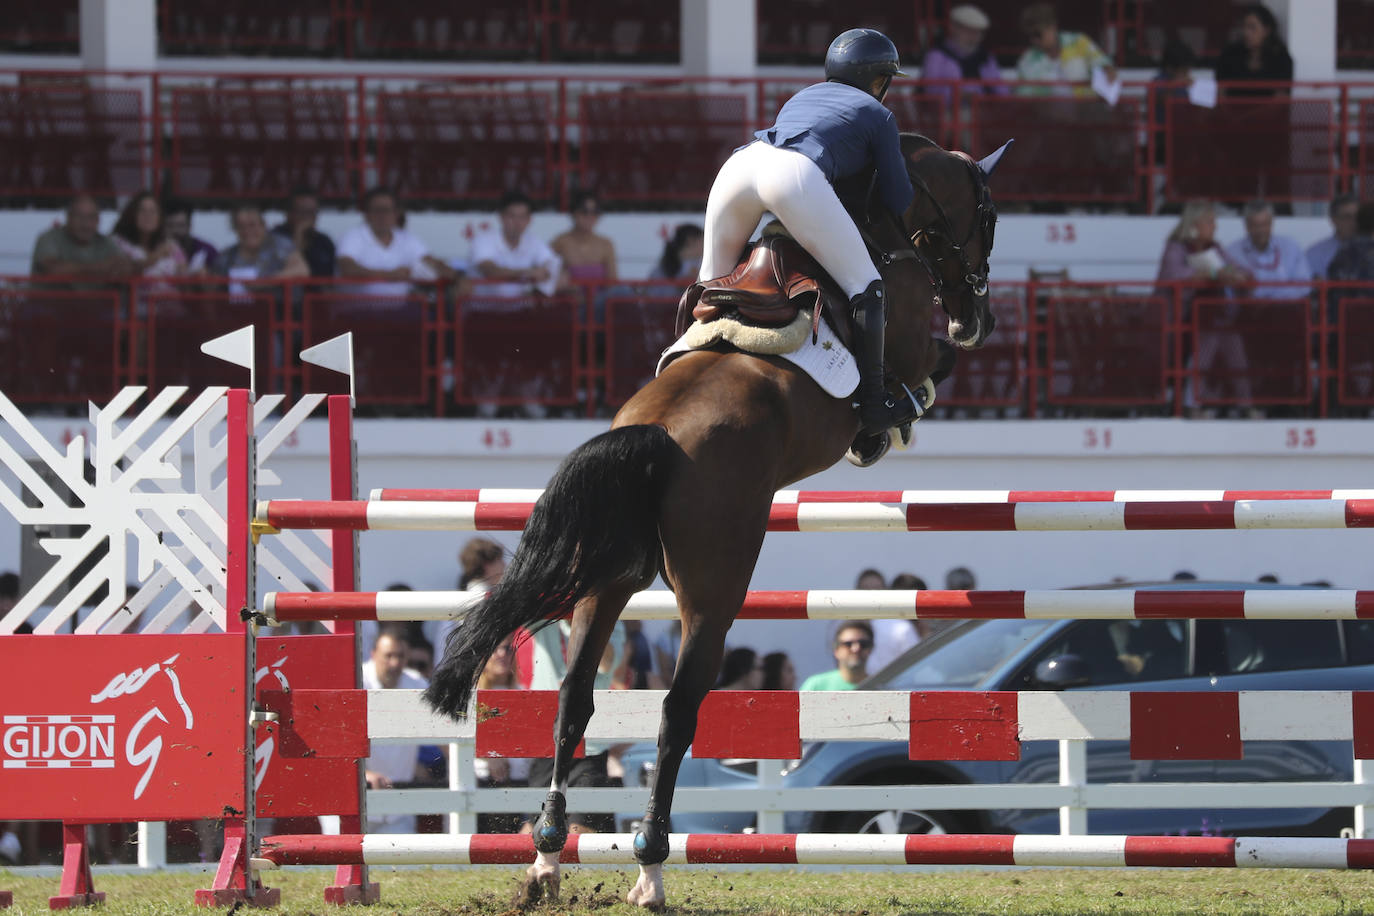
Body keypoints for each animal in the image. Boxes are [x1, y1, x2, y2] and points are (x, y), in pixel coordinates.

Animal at [428, 130, 1011, 911]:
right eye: (988, 219)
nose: (976, 320)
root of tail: (653, 434)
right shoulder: (912, 339)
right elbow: (924, 372)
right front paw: (889, 423)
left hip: (606, 583)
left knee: (575, 699)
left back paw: (547, 859)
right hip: (714, 588)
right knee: (677, 708)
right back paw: (649, 867)